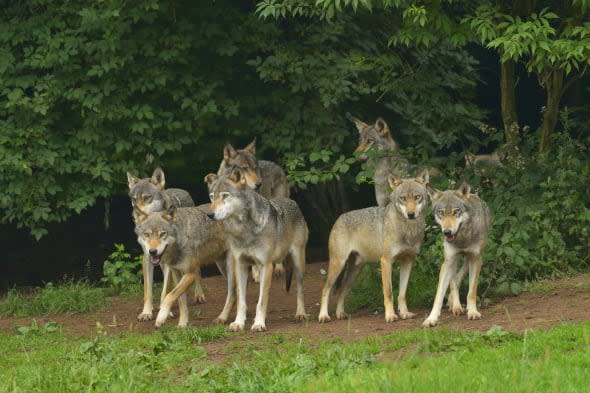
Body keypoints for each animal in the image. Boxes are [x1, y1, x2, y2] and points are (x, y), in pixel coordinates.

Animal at [126, 167, 198, 320]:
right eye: (133, 199)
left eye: (147, 197)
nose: (135, 215)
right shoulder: (147, 258)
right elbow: (148, 291)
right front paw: (146, 312)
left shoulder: (168, 263)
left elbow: (165, 290)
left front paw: (166, 311)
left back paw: (199, 296)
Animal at [208, 168, 310, 330]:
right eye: (211, 197)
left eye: (225, 196)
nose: (209, 214)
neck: (244, 231)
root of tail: (292, 202)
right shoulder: (241, 265)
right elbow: (242, 301)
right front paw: (238, 323)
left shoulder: (265, 266)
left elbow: (262, 301)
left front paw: (259, 324)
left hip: (298, 265)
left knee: (300, 290)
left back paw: (300, 314)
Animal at [320, 170, 430, 324]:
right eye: (402, 198)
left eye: (417, 197)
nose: (411, 214)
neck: (408, 230)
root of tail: (339, 218)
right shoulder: (386, 261)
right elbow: (389, 292)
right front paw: (390, 316)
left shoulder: (408, 261)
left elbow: (402, 294)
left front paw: (404, 313)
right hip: (338, 265)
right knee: (325, 289)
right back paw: (323, 316)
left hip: (355, 271)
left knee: (342, 291)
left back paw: (340, 313)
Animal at [424, 179, 492, 326]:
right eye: (441, 212)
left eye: (456, 212)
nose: (447, 232)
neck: (462, 239)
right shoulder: (448, 261)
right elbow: (439, 295)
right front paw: (431, 318)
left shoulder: (476, 259)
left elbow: (471, 292)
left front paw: (473, 312)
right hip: (452, 261)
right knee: (454, 280)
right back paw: (456, 307)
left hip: (468, 260)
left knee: (457, 278)